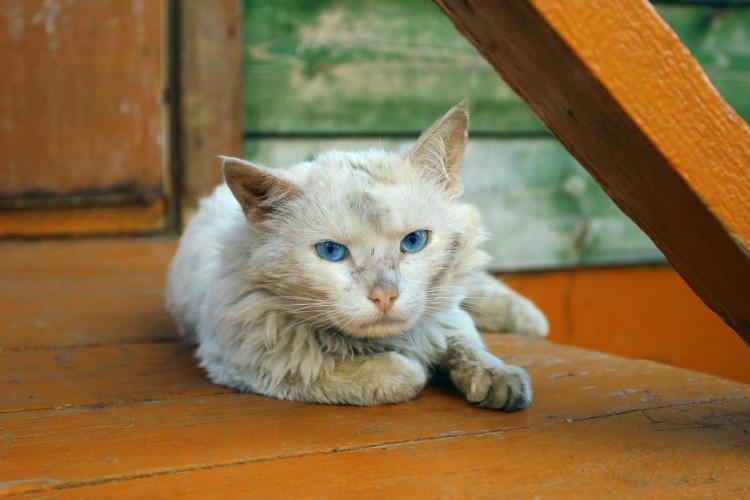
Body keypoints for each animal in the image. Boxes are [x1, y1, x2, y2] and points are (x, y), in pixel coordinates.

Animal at [167, 100, 548, 410]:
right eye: (331, 251)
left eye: (414, 241)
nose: (385, 296)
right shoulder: (248, 360)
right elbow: (399, 373)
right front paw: (417, 367)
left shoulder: (448, 321)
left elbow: (468, 346)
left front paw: (499, 379)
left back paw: (532, 321)